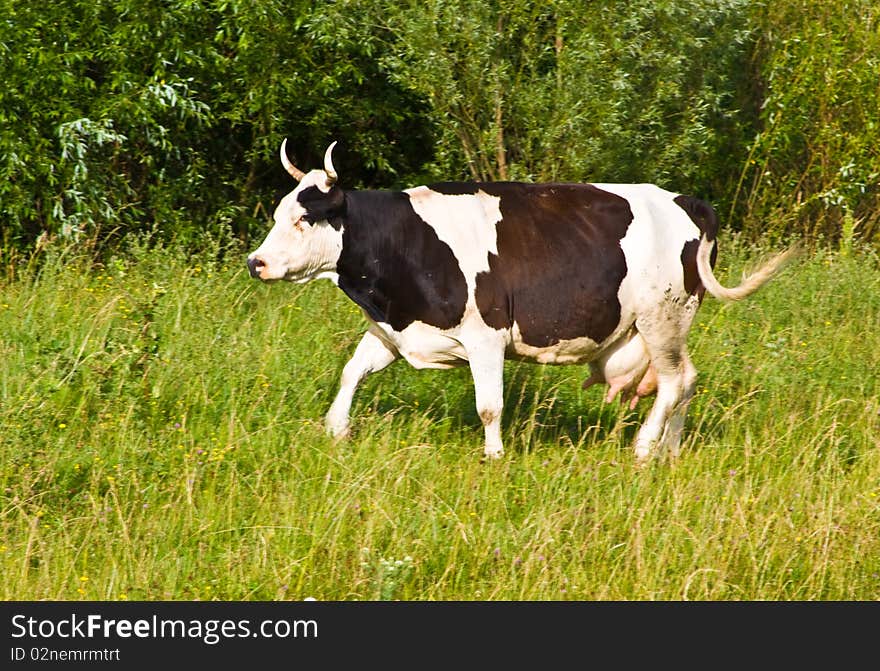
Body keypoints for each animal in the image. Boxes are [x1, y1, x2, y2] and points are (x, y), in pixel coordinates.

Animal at [248, 140, 796, 468]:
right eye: (277, 213)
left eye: (304, 218)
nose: (256, 262)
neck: (405, 241)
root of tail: (685, 200)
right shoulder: (394, 329)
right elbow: (351, 372)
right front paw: (336, 429)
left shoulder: (485, 335)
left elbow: (489, 405)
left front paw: (494, 457)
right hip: (667, 326)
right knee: (683, 381)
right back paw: (672, 449)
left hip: (662, 318)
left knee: (675, 381)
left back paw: (644, 449)